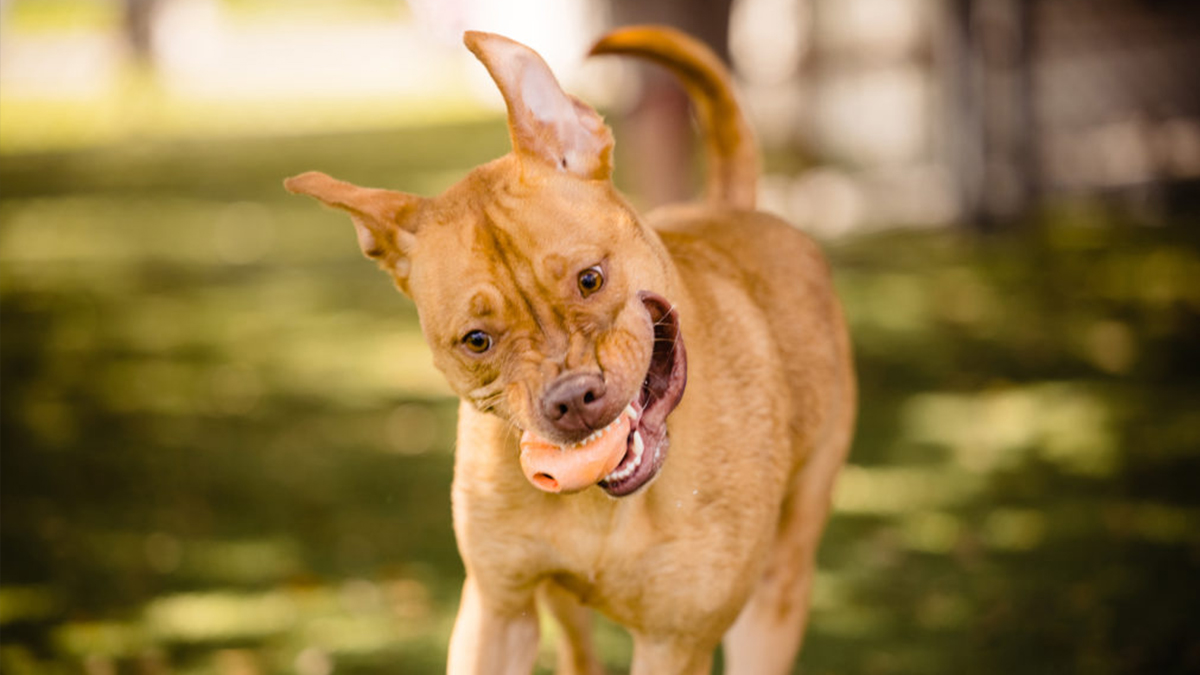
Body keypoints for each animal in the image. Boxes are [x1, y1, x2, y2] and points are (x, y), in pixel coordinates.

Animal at [286, 24, 859, 672]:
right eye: (477, 340)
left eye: (590, 279)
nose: (573, 398)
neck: (605, 507)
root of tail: (731, 209)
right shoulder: (497, 612)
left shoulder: (676, 642)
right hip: (562, 606)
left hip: (775, 594)